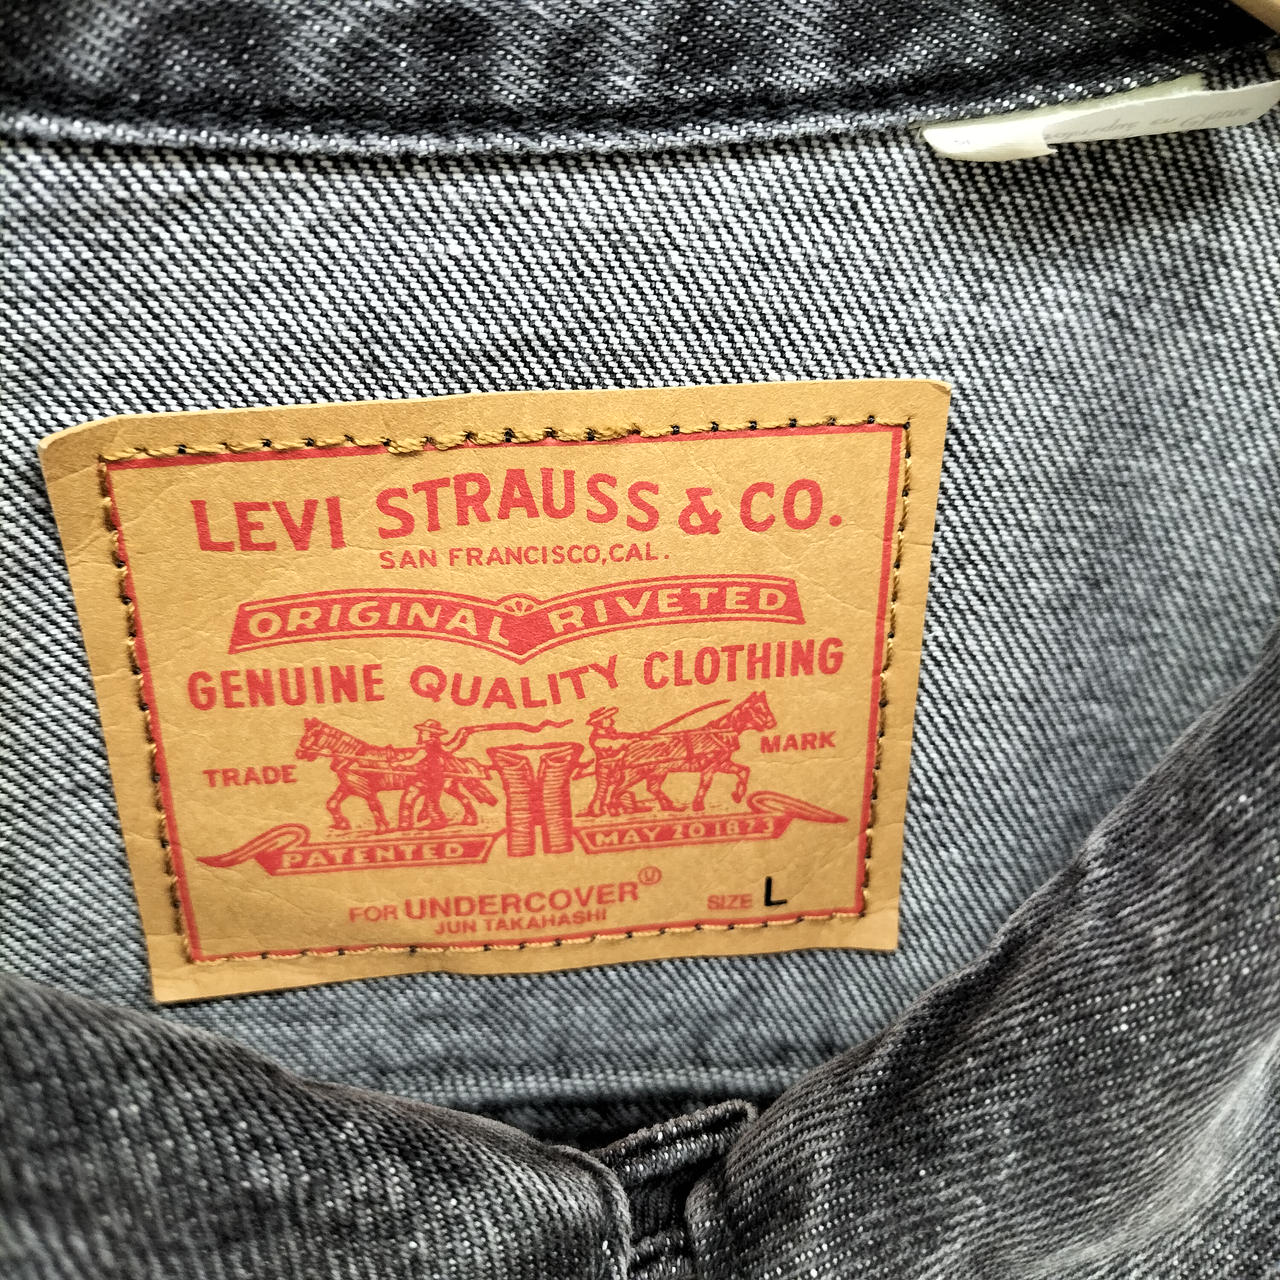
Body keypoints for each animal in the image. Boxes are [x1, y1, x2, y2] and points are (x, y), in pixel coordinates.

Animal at [295, 718, 496, 834]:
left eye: (310, 735)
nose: (299, 753)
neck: (354, 757)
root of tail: (449, 756)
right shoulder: (348, 786)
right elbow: (332, 803)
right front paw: (341, 824)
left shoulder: (364, 788)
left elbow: (374, 805)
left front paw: (382, 828)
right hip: (447, 785)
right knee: (463, 798)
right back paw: (467, 820)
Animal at [583, 691, 776, 817]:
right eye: (759, 708)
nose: (772, 723)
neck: (719, 733)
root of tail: (629, 748)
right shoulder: (710, 767)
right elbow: (705, 784)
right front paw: (698, 805)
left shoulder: (722, 764)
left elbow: (744, 771)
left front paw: (737, 795)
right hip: (636, 773)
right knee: (617, 789)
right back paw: (613, 809)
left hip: (658, 771)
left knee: (651, 787)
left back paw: (669, 806)